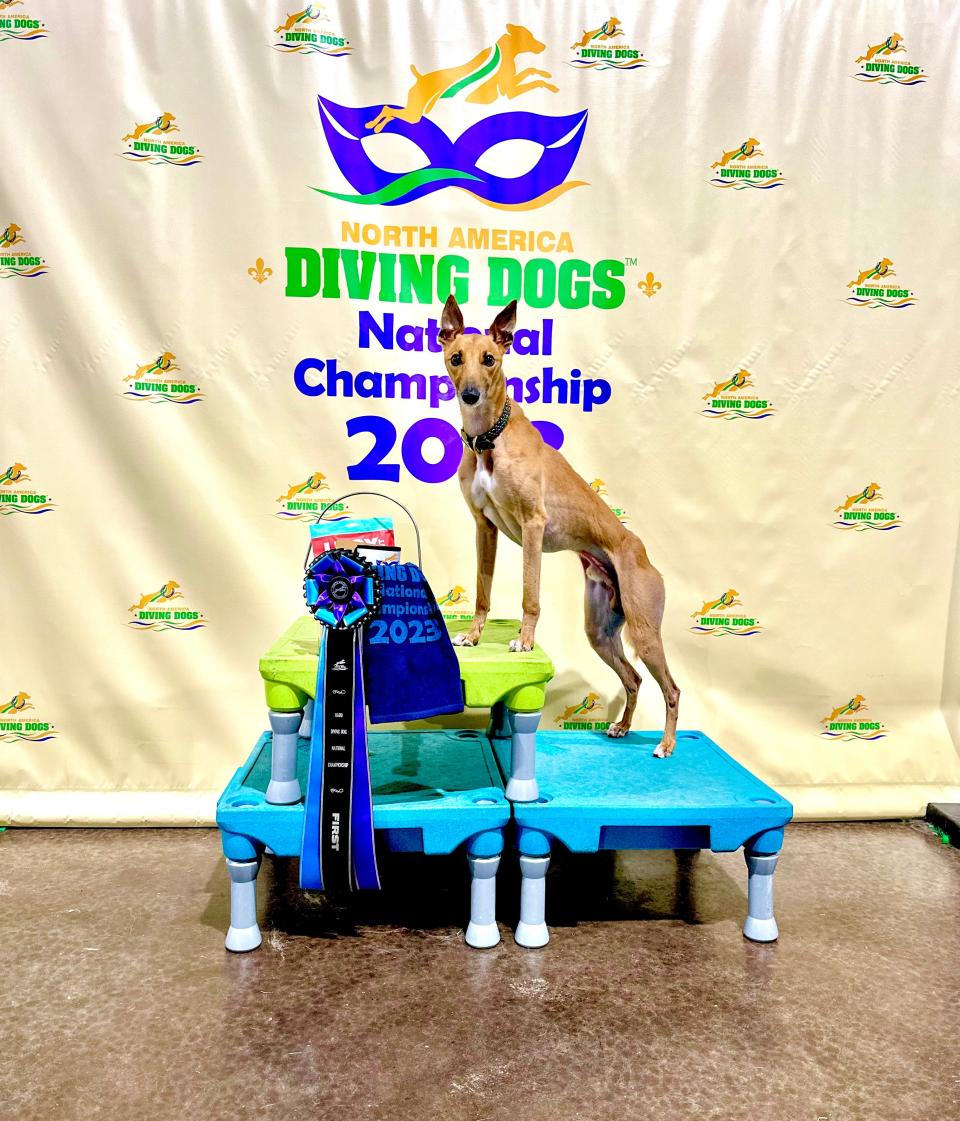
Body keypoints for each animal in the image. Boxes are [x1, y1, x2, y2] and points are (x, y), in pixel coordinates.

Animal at [439, 293, 677, 757]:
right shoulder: (483, 527)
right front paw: (473, 637)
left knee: (671, 689)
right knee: (634, 678)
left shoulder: (533, 525)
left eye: (490, 359)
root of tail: (640, 550)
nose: (470, 395)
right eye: (457, 358)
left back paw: (666, 744)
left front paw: (524, 641)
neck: (489, 439)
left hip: (644, 629)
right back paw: (622, 727)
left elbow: (530, 596)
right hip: (600, 629)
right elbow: (482, 593)